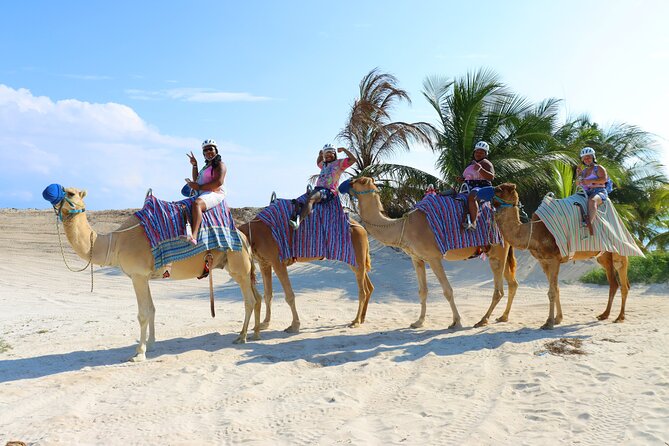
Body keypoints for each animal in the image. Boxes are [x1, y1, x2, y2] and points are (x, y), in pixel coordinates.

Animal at [47, 186, 260, 362]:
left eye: (70, 193)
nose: (49, 193)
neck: (115, 242)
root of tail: (244, 237)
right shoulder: (144, 277)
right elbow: (152, 309)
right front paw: (150, 344)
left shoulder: (138, 275)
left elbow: (143, 313)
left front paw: (139, 354)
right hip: (241, 269)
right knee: (257, 297)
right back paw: (255, 332)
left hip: (239, 267)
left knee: (249, 300)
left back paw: (242, 336)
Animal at [237, 216, 374, 332]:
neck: (253, 233)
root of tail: (363, 229)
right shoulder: (264, 263)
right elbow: (268, 294)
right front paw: (265, 323)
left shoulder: (277, 262)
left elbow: (289, 296)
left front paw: (294, 325)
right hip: (355, 259)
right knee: (368, 286)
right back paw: (362, 318)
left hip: (357, 251)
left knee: (362, 290)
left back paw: (356, 321)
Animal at [344, 177, 516, 328]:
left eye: (360, 180)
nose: (347, 183)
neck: (404, 226)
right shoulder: (417, 259)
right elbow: (423, 291)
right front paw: (418, 322)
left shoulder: (434, 258)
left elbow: (447, 291)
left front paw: (456, 322)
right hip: (499, 252)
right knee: (512, 283)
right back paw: (503, 317)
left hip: (498, 250)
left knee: (499, 290)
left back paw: (483, 320)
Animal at [490, 183, 628, 330]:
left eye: (499, 189)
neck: (533, 233)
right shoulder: (543, 261)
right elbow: (556, 289)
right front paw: (558, 319)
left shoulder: (554, 259)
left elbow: (552, 292)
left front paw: (548, 322)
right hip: (603, 256)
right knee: (614, 283)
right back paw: (604, 315)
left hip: (619, 249)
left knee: (623, 282)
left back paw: (619, 317)